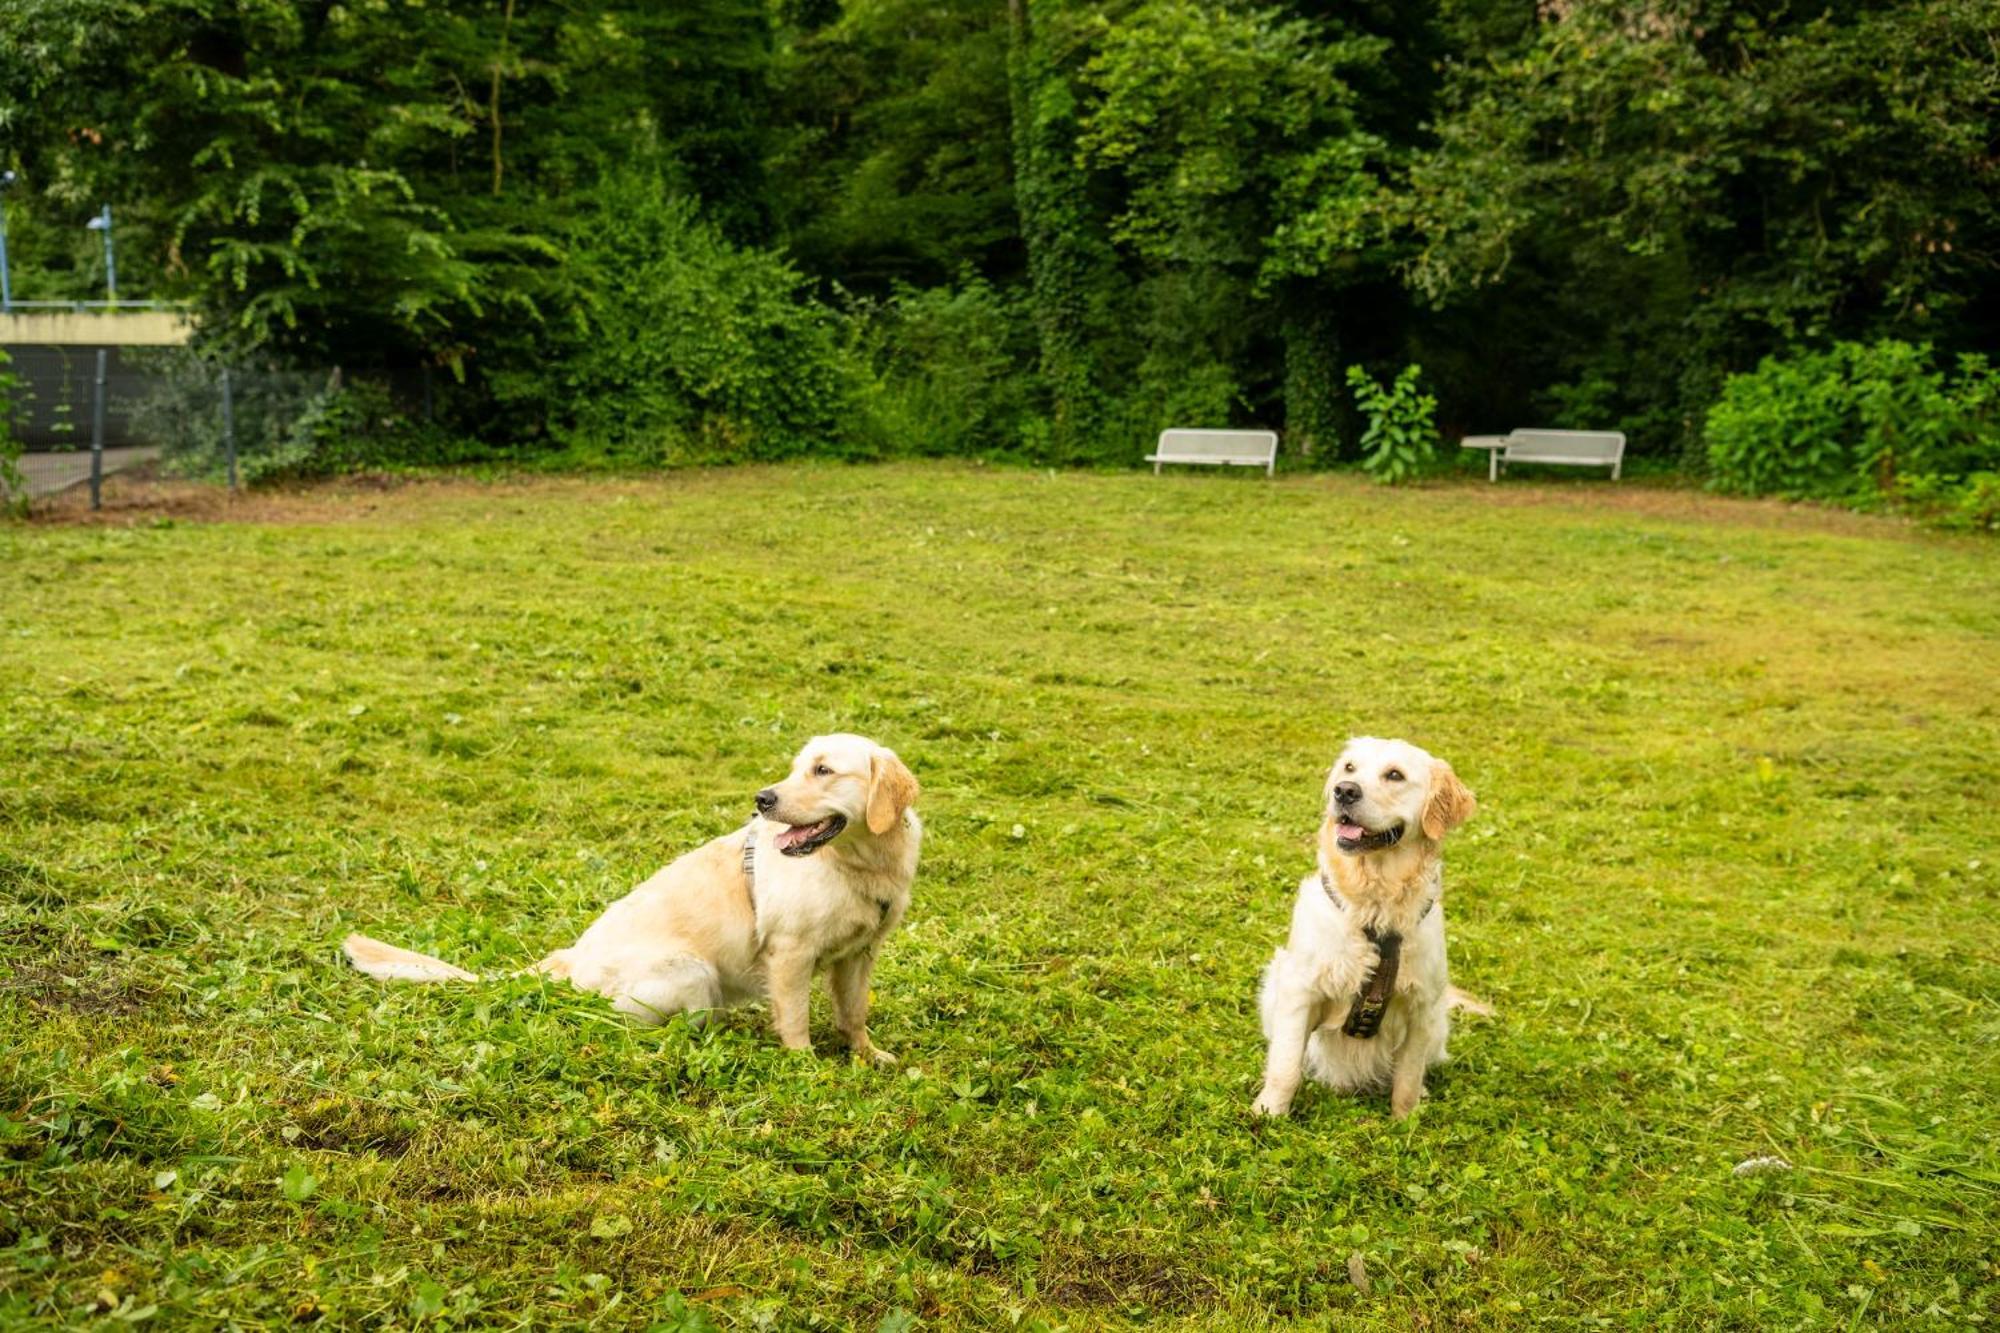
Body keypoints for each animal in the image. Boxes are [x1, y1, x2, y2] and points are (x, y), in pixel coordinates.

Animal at [344, 732, 920, 1064]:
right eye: (799, 767)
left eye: (823, 770)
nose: (762, 799)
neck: (860, 864)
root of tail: (571, 957)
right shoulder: (790, 953)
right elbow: (796, 1020)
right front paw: (805, 1068)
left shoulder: (860, 955)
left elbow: (854, 1014)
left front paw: (868, 1055)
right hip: (692, 971)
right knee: (627, 1020)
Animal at [1248, 732, 1488, 1112]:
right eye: (1349, 768)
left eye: (1395, 775)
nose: (1344, 791)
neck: (1375, 901)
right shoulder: (1299, 989)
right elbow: (1285, 1066)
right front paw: (1268, 1111)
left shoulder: (1422, 1008)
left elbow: (1407, 1079)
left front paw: (1406, 1119)